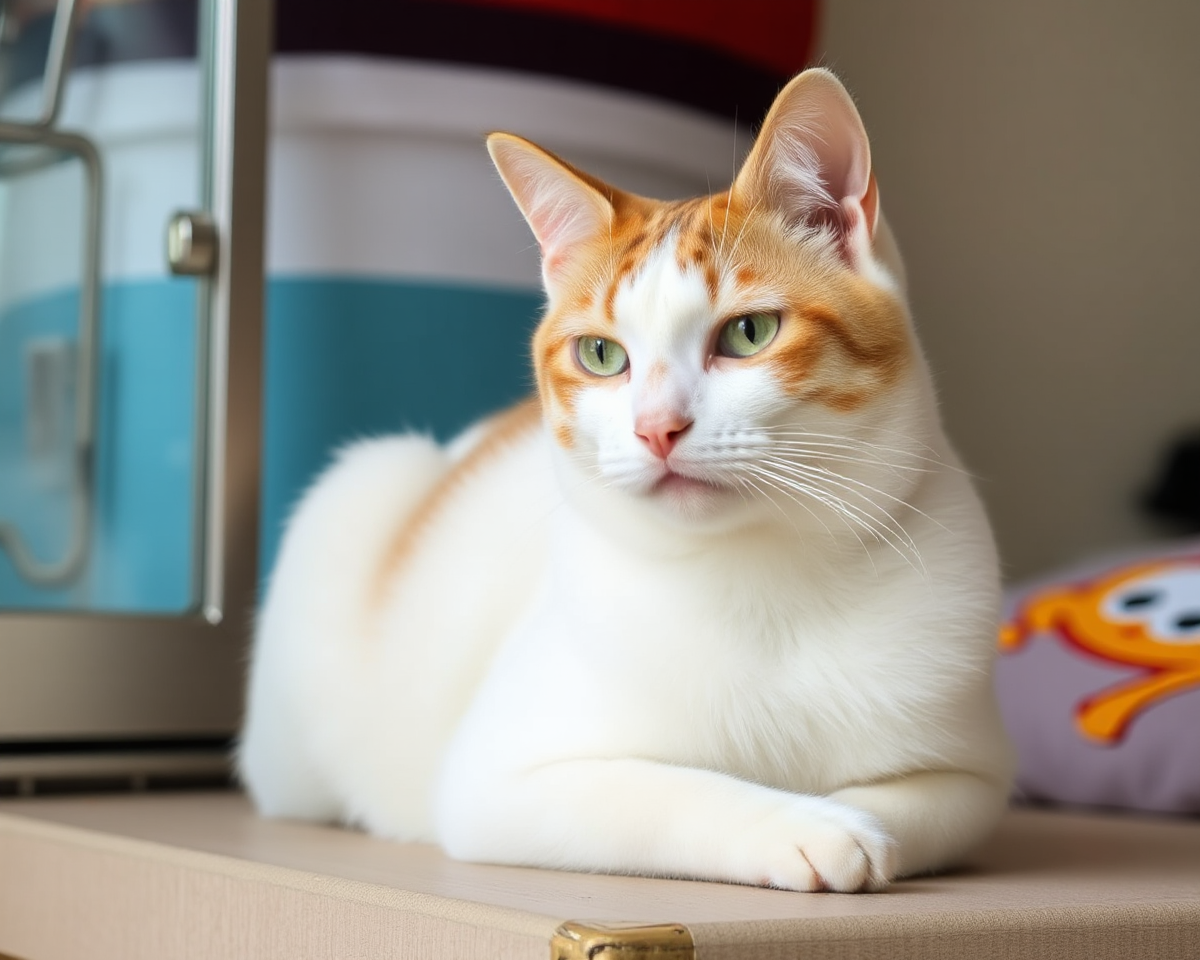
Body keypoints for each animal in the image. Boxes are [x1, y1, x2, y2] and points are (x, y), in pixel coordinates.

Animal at [241, 69, 1012, 892]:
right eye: (602, 355)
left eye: (749, 334)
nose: (656, 428)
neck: (763, 574)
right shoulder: (497, 782)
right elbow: (678, 790)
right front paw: (807, 826)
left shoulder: (975, 781)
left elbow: (914, 805)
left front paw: (852, 819)